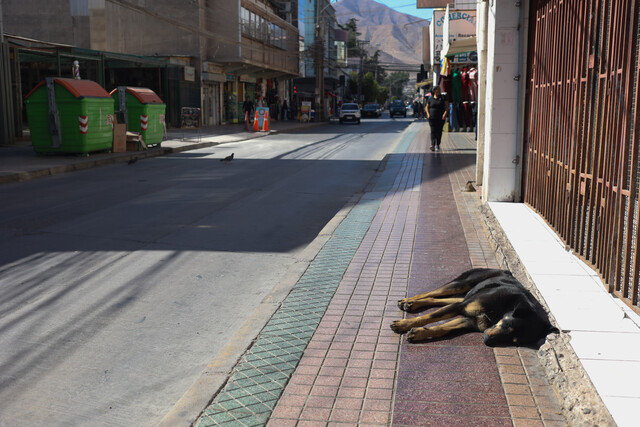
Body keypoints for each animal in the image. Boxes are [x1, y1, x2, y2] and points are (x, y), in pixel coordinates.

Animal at [388, 270, 556, 346]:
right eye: (509, 326)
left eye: (515, 342)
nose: (487, 341)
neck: (503, 310)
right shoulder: (461, 307)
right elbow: (431, 317)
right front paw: (404, 324)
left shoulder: (469, 320)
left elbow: (443, 328)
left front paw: (418, 333)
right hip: (462, 284)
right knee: (433, 292)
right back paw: (409, 300)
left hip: (465, 295)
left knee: (437, 299)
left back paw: (413, 304)